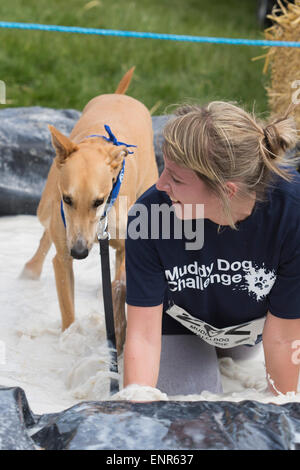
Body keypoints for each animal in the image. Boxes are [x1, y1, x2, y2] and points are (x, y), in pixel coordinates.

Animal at [22, 67, 158, 352]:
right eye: (67, 199)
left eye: (99, 201)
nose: (80, 252)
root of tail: (120, 96)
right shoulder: (63, 250)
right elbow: (67, 306)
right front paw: (70, 337)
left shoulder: (125, 242)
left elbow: (121, 279)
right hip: (45, 206)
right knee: (45, 232)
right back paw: (31, 269)